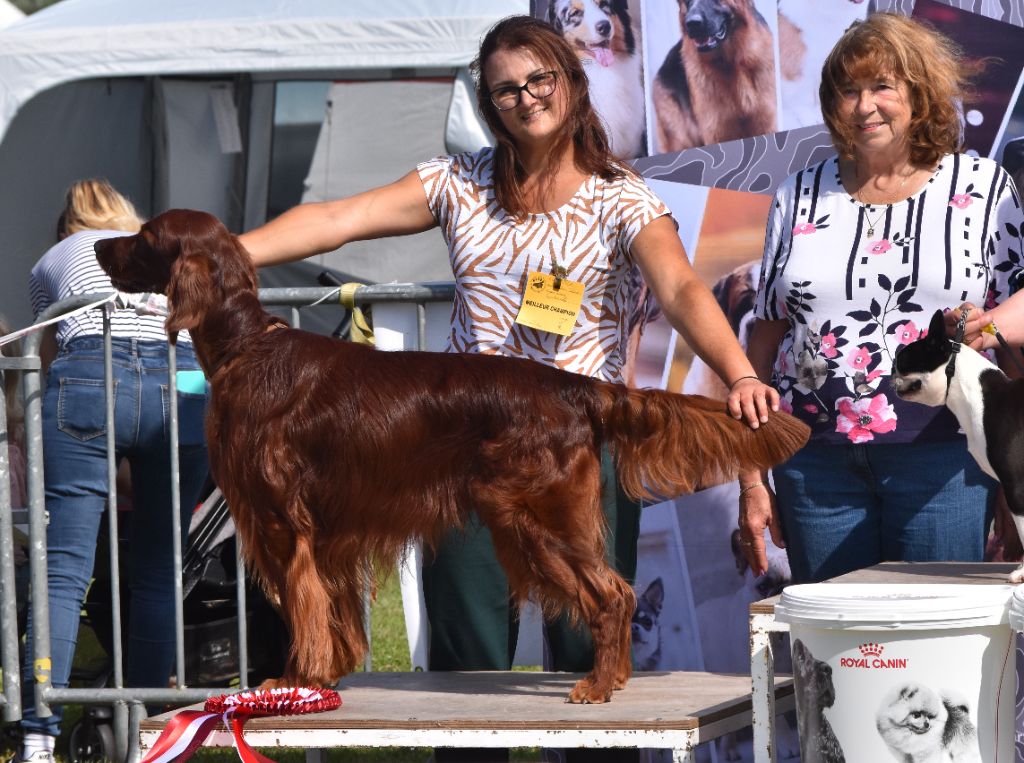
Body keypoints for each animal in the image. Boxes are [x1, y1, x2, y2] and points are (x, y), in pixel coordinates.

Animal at [99, 207, 811, 700]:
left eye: (145, 234)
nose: (101, 245)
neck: (248, 346)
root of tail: (577, 388)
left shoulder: (282, 521)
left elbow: (303, 610)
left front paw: (294, 684)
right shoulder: (327, 530)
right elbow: (331, 610)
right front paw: (326, 678)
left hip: (540, 515)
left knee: (614, 593)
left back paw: (596, 685)